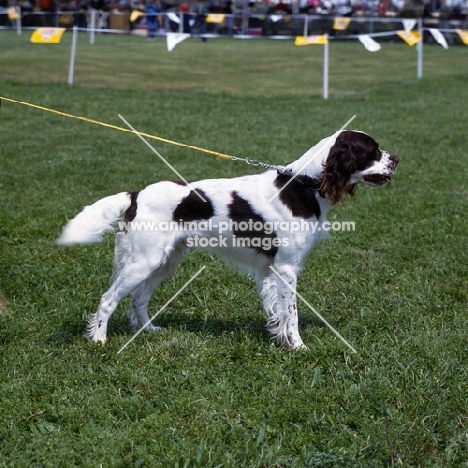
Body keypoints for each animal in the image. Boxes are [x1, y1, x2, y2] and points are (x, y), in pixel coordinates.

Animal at [58, 130, 398, 350]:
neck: (303, 185)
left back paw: (149, 331)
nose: (396, 158)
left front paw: (281, 341)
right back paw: (99, 340)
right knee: (108, 299)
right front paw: (298, 347)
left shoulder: (273, 271)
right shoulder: (286, 268)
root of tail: (136, 195)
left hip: (166, 261)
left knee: (138, 298)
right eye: (373, 151)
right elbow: (292, 314)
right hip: (144, 261)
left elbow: (278, 313)